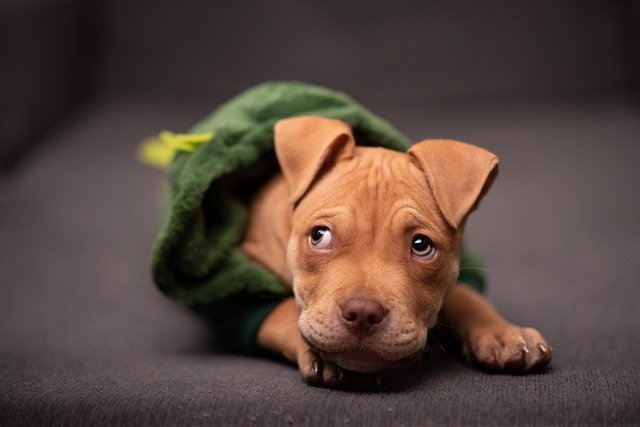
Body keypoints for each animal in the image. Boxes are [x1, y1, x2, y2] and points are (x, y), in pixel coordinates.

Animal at [240, 116, 552, 388]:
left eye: (421, 246)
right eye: (319, 236)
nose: (362, 312)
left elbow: (466, 295)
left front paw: (504, 332)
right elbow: (279, 309)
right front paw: (316, 352)